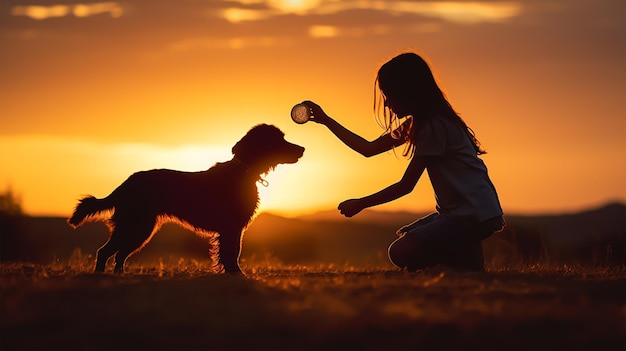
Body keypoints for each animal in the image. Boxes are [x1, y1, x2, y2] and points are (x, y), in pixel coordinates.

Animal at [68, 124, 302, 276]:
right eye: (279, 139)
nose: (302, 149)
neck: (243, 171)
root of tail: (126, 183)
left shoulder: (232, 228)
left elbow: (230, 253)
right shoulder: (232, 228)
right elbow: (232, 253)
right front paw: (236, 274)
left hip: (140, 229)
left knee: (119, 255)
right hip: (135, 226)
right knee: (105, 252)